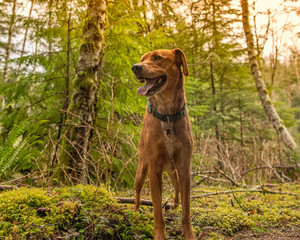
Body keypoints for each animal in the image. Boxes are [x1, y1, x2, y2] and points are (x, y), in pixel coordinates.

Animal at [132, 48, 195, 240]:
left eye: (157, 58)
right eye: (142, 59)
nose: (135, 67)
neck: (167, 114)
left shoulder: (184, 168)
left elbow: (187, 211)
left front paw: (188, 234)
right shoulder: (154, 170)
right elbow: (157, 212)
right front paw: (159, 234)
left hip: (174, 171)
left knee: (177, 188)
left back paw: (175, 205)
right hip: (142, 169)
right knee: (137, 192)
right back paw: (135, 210)